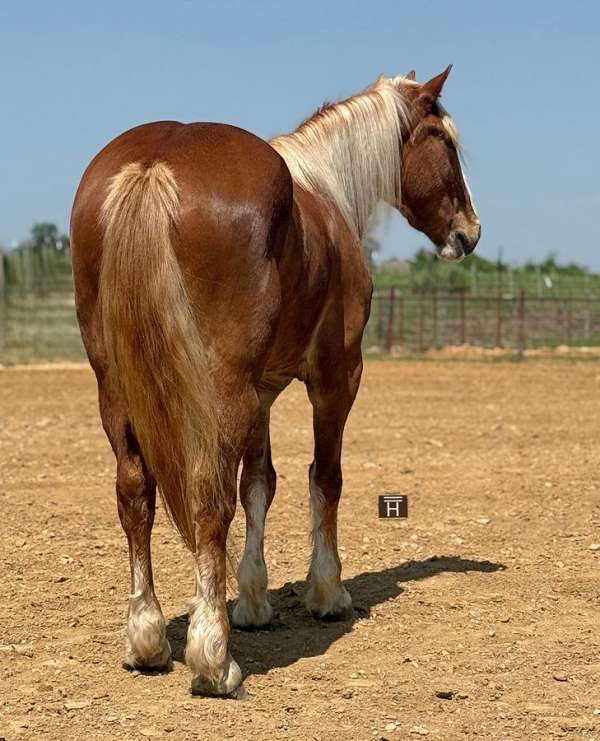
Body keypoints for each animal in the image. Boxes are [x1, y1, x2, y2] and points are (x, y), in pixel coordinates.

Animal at [70, 65, 480, 698]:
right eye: (448, 143)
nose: (469, 233)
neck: (323, 190)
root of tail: (154, 165)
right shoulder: (336, 376)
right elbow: (324, 478)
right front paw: (327, 592)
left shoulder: (262, 393)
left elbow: (259, 483)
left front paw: (254, 602)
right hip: (222, 393)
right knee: (207, 500)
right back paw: (213, 659)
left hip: (116, 392)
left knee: (135, 495)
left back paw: (147, 639)